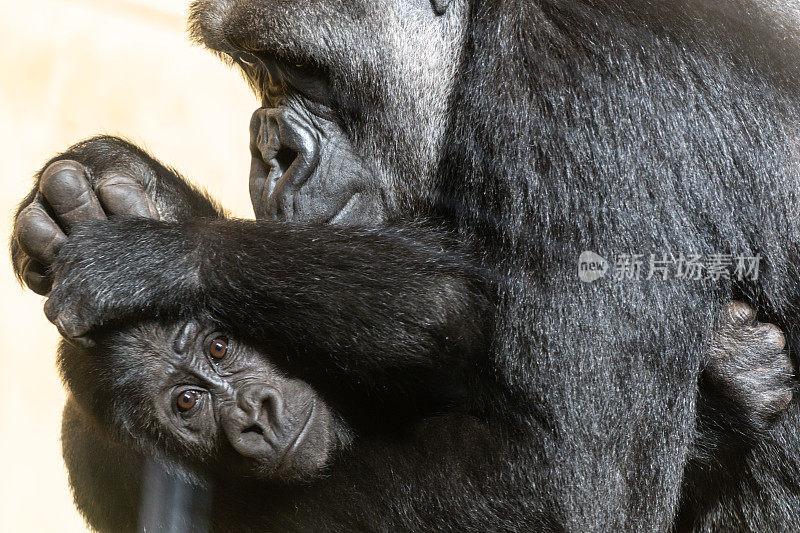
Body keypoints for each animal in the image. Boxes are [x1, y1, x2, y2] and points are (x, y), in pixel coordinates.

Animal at [12, 0, 800, 528]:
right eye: (258, 71)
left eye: (302, 70)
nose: (270, 151)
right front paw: (140, 195)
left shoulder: (578, 79)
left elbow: (562, 488)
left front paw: (168, 249)